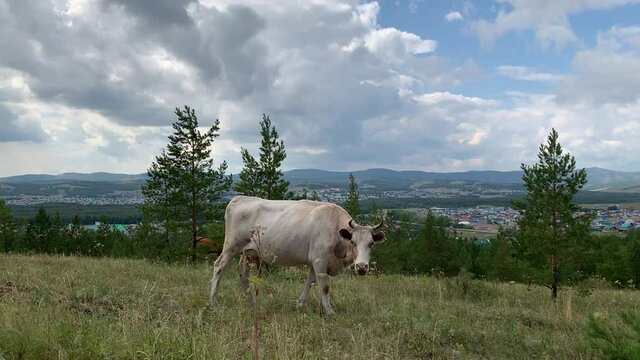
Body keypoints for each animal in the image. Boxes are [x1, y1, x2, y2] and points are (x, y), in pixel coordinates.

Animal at [210, 194, 384, 316]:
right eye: (353, 242)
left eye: (371, 243)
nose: (361, 267)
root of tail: (239, 198)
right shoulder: (320, 260)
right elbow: (324, 286)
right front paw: (329, 311)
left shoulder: (315, 261)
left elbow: (310, 282)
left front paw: (300, 304)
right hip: (231, 246)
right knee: (219, 267)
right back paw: (213, 301)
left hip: (249, 252)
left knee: (243, 274)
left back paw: (251, 302)